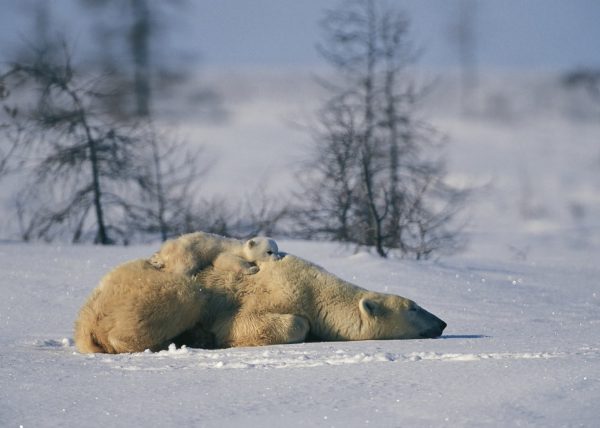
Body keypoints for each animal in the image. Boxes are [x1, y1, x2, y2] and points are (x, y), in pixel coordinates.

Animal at [74, 252, 446, 352]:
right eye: (414, 306)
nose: (442, 323)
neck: (318, 290)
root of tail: (85, 319)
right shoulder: (277, 290)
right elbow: (244, 323)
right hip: (148, 290)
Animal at [150, 232, 282, 276]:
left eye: (277, 250)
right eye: (269, 252)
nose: (278, 258)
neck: (240, 249)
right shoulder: (225, 251)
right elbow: (225, 260)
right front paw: (252, 269)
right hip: (186, 253)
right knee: (185, 266)